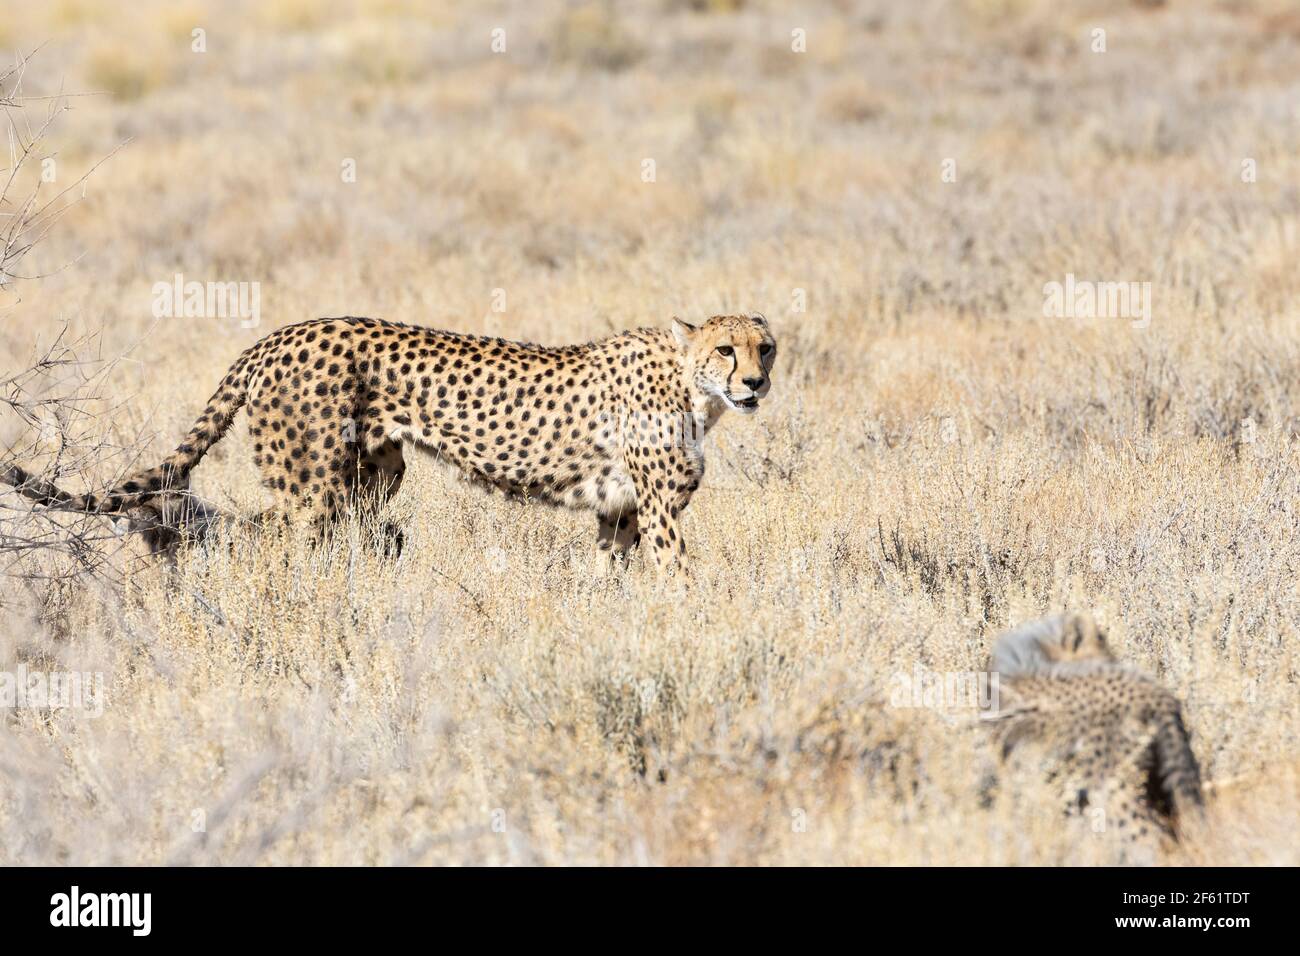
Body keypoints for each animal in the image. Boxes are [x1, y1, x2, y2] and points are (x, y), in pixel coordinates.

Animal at [5, 317, 774, 580]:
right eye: (726, 349)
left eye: (765, 346)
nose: (757, 382)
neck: (692, 384)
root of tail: (278, 334)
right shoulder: (659, 511)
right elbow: (680, 577)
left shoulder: (619, 512)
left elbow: (611, 577)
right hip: (310, 485)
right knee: (273, 546)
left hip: (373, 474)